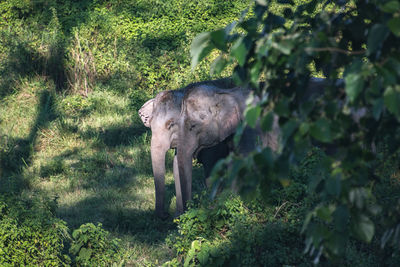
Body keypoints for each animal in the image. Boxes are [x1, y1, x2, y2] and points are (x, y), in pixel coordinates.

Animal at [139, 78, 236, 219]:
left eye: (171, 124)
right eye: (150, 125)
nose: (165, 215)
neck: (183, 92)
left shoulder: (214, 136)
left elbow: (211, 168)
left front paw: (211, 211)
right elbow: (176, 167)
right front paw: (179, 217)